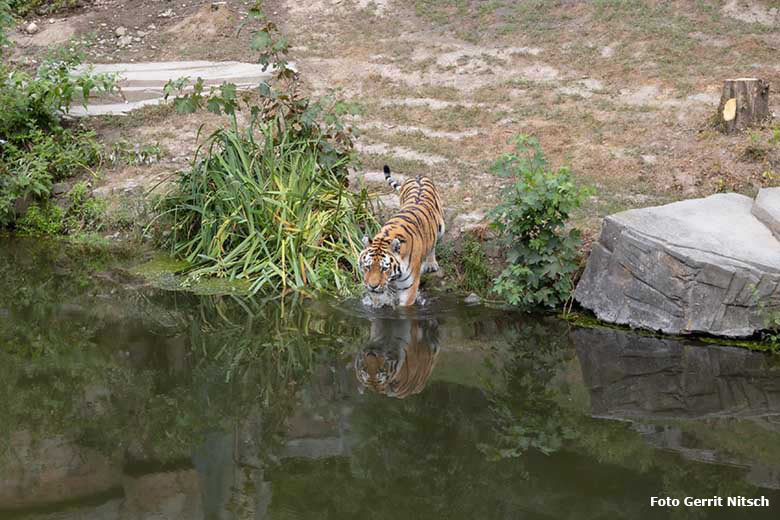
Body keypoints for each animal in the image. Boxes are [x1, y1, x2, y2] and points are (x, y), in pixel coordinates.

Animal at [358, 165, 444, 306]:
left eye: (384, 268)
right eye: (367, 266)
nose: (373, 286)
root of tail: (418, 176)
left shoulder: (409, 287)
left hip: (441, 228)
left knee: (433, 245)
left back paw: (431, 264)